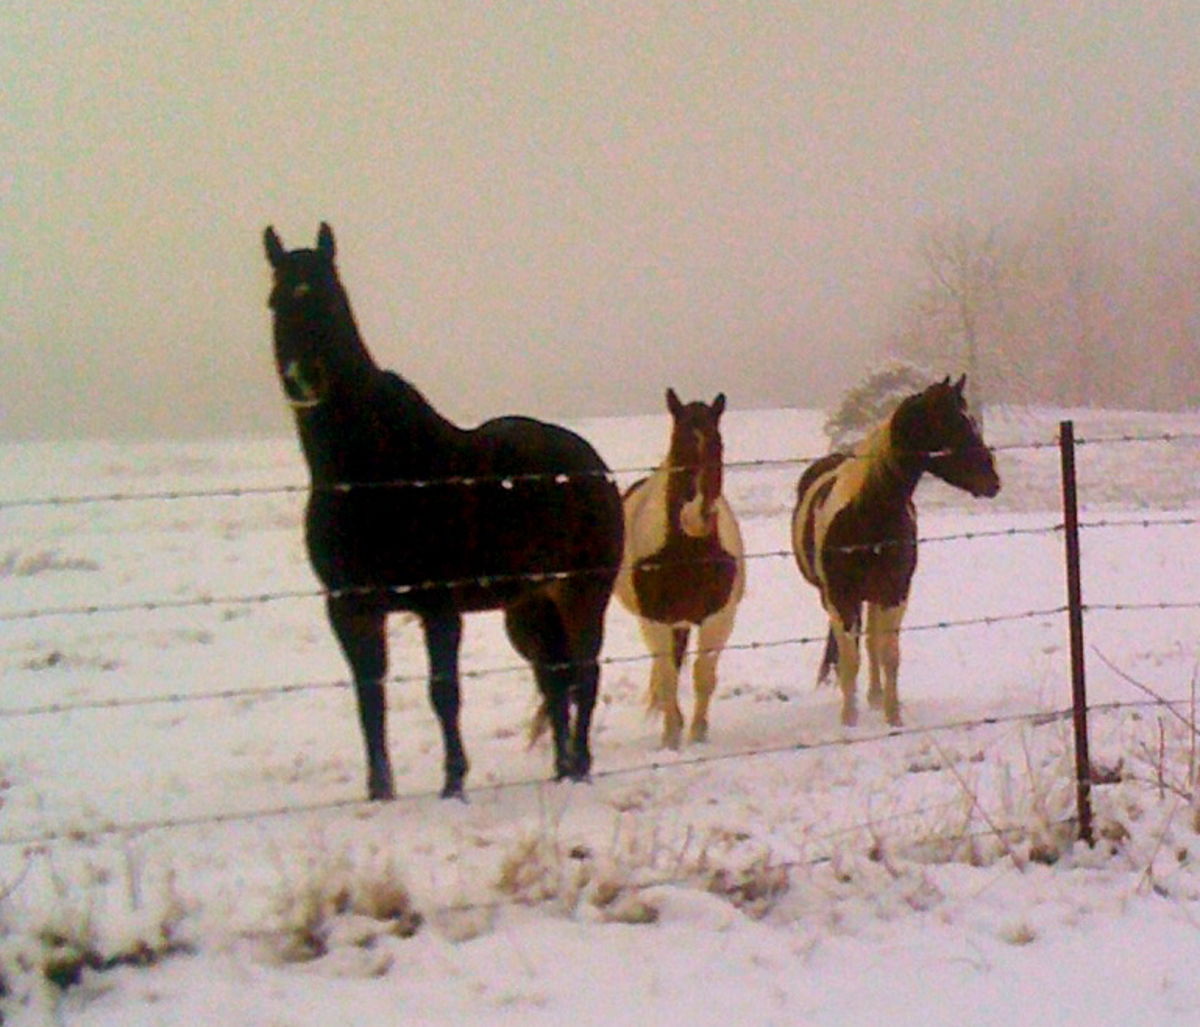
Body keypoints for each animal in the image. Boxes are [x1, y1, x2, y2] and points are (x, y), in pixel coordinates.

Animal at [264, 223, 624, 801]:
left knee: (584, 675)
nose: (304, 378)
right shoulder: (349, 609)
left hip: (582, 595)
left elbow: (443, 693)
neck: (373, 474)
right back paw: (562, 767)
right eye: (276, 301)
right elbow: (370, 700)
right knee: (553, 680)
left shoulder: (438, 608)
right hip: (530, 609)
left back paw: (581, 768)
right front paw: (380, 792)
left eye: (332, 298)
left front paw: (453, 783)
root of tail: (592, 464)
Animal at [614, 389, 745, 749]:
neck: (690, 552)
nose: (697, 517)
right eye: (678, 446)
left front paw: (698, 732)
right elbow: (668, 677)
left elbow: (703, 675)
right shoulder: (655, 621)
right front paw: (672, 737)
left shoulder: (719, 619)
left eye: (718, 446)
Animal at [790, 376, 1000, 728]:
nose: (993, 481)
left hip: (875, 595)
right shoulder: (840, 596)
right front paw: (849, 720)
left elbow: (888, 653)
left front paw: (893, 717)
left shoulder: (895, 592)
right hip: (834, 597)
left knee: (873, 641)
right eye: (954, 422)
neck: (867, 514)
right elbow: (850, 657)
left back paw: (875, 696)